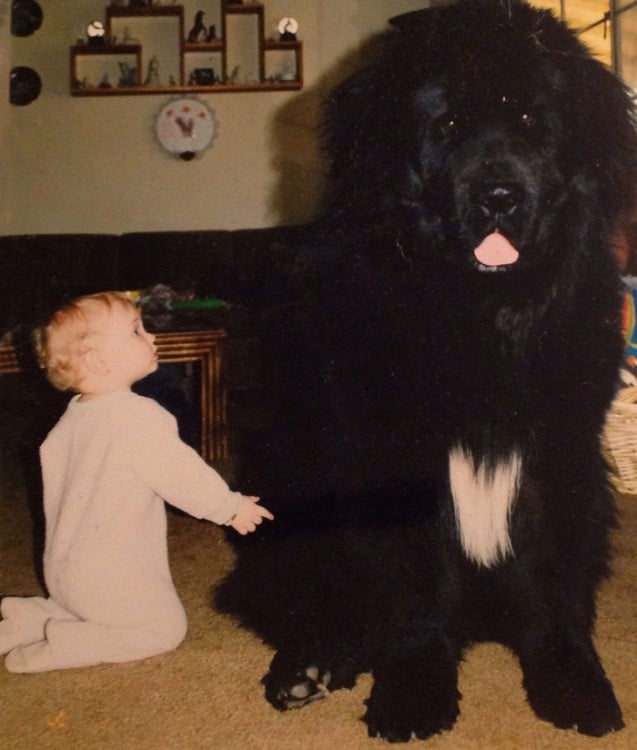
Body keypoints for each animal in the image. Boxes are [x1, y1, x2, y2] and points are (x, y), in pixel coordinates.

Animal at [215, 0, 636, 744]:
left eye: (533, 124)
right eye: (446, 127)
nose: (499, 196)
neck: (482, 314)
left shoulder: (561, 455)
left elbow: (556, 582)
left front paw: (574, 685)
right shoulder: (392, 456)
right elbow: (411, 590)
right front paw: (413, 694)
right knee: (293, 600)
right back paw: (309, 667)